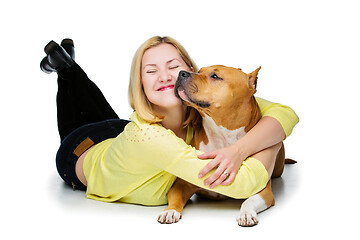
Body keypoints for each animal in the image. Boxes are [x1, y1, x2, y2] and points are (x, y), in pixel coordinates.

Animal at [158, 64, 292, 226]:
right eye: (200, 71)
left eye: (215, 76)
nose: (182, 73)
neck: (222, 136)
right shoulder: (181, 184)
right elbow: (176, 197)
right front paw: (170, 210)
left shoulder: (263, 190)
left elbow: (249, 201)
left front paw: (246, 213)